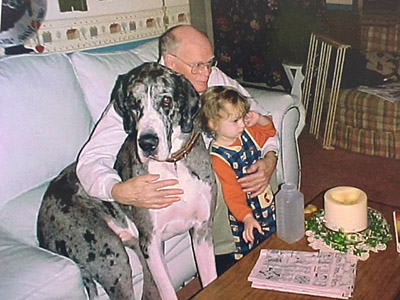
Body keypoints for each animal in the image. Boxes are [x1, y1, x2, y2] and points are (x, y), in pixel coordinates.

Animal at [37, 62, 217, 298]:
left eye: (166, 101)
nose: (147, 143)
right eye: (133, 103)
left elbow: (211, 280)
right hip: (112, 258)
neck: (174, 165)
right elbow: (168, 292)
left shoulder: (202, 231)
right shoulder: (152, 243)